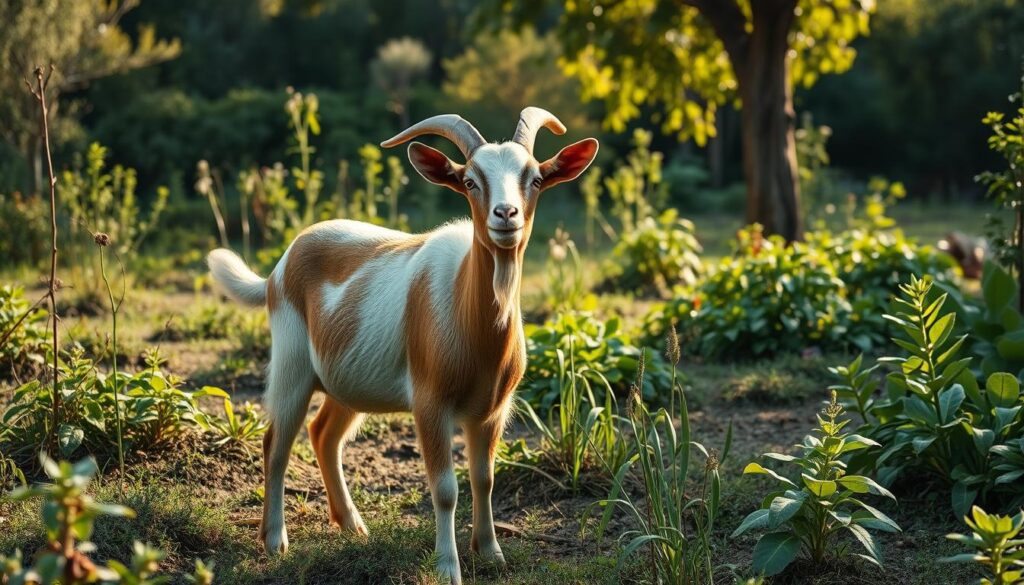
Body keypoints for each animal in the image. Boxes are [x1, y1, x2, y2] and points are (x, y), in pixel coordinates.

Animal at [203, 108, 598, 581]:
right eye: (470, 181)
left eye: (535, 178)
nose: (506, 215)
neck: (472, 320)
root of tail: (278, 269)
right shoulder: (430, 402)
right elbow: (445, 488)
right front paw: (448, 567)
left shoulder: (492, 411)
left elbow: (484, 479)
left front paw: (490, 553)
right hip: (292, 363)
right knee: (276, 442)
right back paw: (275, 541)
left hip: (346, 381)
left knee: (323, 434)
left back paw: (352, 525)